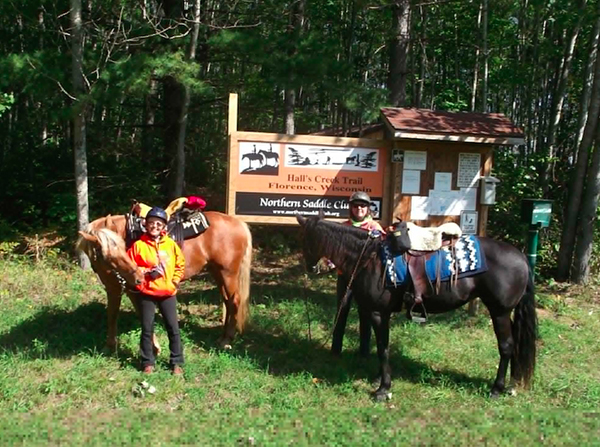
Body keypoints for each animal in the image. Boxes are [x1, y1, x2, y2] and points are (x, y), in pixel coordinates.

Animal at [77, 212, 251, 352]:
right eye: (107, 255)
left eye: (122, 247)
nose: (138, 276)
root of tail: (239, 224)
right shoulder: (115, 288)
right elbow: (113, 314)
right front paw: (110, 347)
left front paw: (154, 347)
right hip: (217, 272)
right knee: (227, 301)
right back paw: (223, 337)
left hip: (227, 273)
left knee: (234, 301)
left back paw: (227, 340)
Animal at [298, 215, 536, 400]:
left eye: (306, 239)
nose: (311, 267)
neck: (369, 256)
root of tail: (521, 257)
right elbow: (381, 346)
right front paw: (379, 379)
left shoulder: (378, 313)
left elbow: (383, 348)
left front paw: (383, 389)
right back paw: (511, 385)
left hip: (499, 312)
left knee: (506, 346)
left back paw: (496, 389)